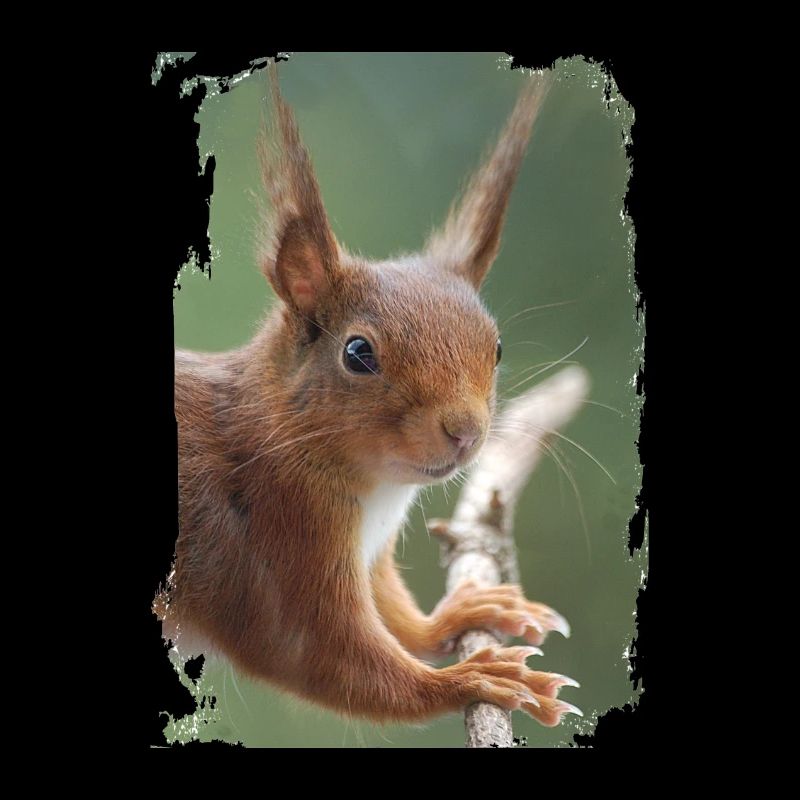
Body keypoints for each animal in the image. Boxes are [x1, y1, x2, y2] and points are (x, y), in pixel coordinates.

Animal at [160, 64, 581, 729]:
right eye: (358, 354)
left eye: (496, 348)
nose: (464, 432)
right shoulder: (275, 543)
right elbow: (323, 656)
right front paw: (473, 679)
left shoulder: (371, 551)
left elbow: (397, 619)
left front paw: (465, 613)